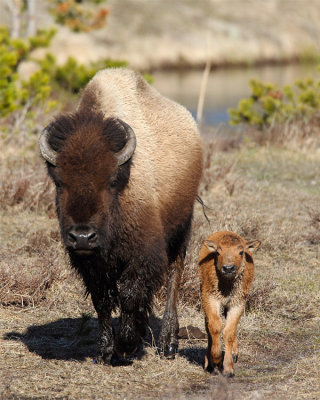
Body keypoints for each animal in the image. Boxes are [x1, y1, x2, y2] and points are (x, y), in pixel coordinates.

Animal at [39, 69, 202, 366]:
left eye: (111, 180)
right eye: (59, 181)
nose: (83, 237)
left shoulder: (143, 254)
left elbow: (129, 295)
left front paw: (126, 345)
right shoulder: (92, 265)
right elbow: (103, 300)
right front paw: (105, 351)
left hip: (181, 228)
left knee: (174, 276)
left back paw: (168, 344)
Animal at [199, 230, 262, 376]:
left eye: (241, 252)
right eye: (218, 252)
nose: (228, 268)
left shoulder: (237, 303)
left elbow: (229, 332)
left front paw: (228, 369)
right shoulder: (210, 299)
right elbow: (215, 326)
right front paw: (216, 360)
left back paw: (234, 353)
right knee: (208, 325)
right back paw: (209, 363)